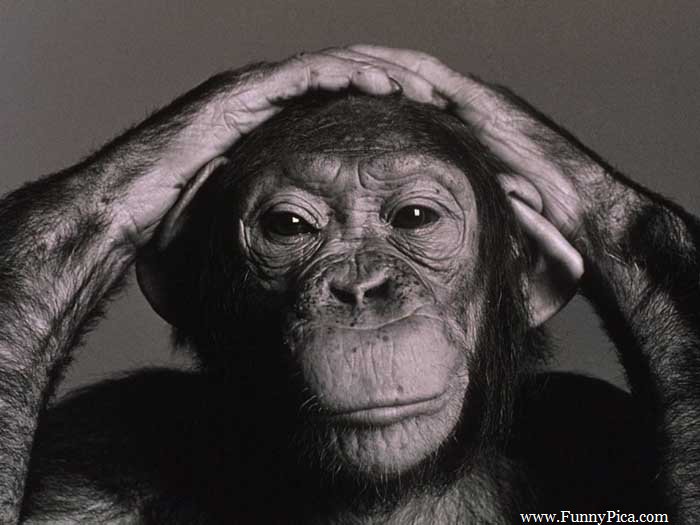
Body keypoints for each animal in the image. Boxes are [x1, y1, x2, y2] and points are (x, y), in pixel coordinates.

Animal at [0, 46, 698, 524]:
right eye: (288, 227)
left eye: (414, 218)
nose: (361, 288)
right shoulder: (85, 465)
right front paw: (226, 105)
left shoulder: (590, 420)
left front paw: (513, 129)